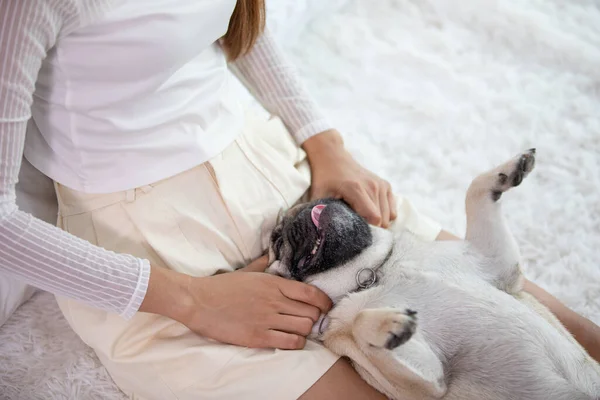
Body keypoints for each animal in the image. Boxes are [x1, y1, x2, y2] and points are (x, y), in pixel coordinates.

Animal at [266, 151, 600, 400]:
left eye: (339, 197)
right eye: (277, 240)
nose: (306, 207)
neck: (373, 272)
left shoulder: (495, 261)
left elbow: (474, 191)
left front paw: (506, 171)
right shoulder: (429, 385)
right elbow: (361, 321)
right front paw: (389, 325)